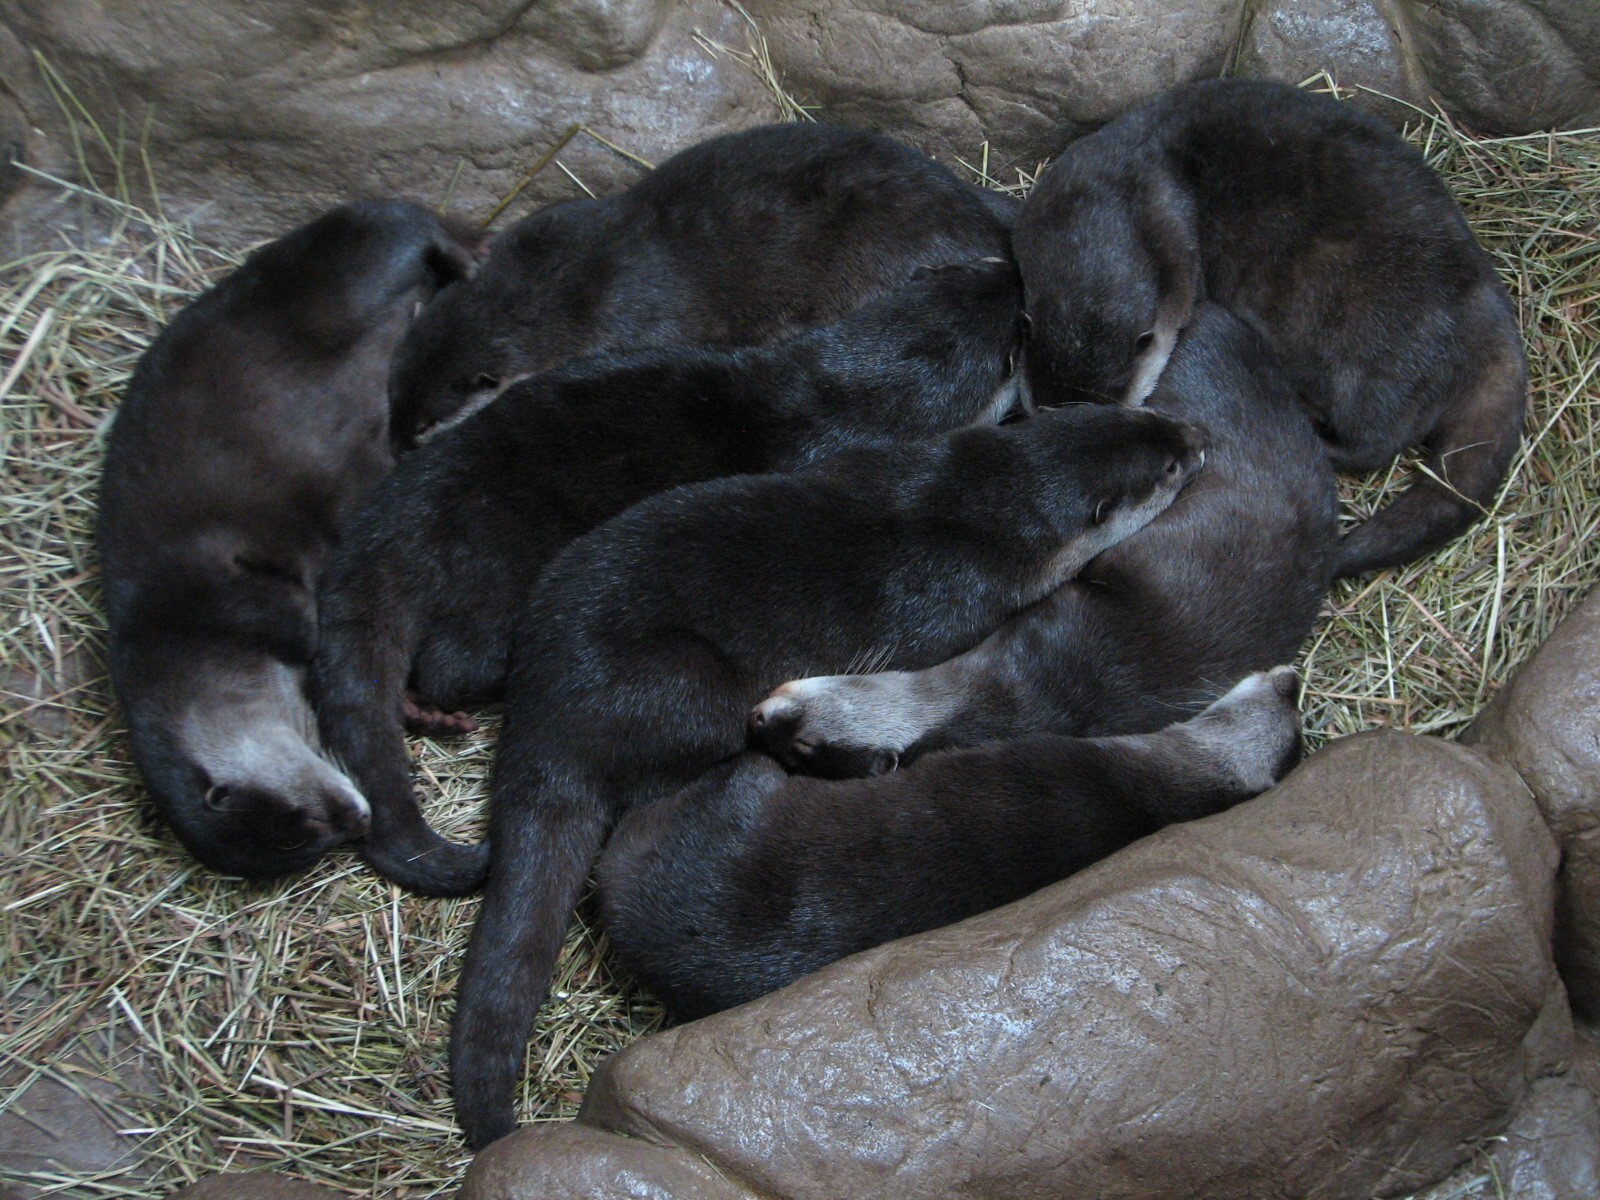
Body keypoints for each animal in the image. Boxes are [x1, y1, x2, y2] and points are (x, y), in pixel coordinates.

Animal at [97, 200, 476, 881]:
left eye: (303, 818)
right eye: (309, 842)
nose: (356, 820)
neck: (190, 651)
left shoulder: (218, 594)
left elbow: (297, 618)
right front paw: (424, 712)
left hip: (345, 270)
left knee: (407, 227)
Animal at [311, 258, 1026, 897]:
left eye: (970, 269)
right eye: (1018, 321)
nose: (1013, 264)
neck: (837, 393)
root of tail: (401, 518)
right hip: (493, 584)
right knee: (450, 665)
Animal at [447, 402, 1205, 1148]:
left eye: (1145, 417)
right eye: (1167, 469)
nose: (1198, 438)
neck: (969, 513)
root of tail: (546, 723)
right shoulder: (957, 608)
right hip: (684, 689)